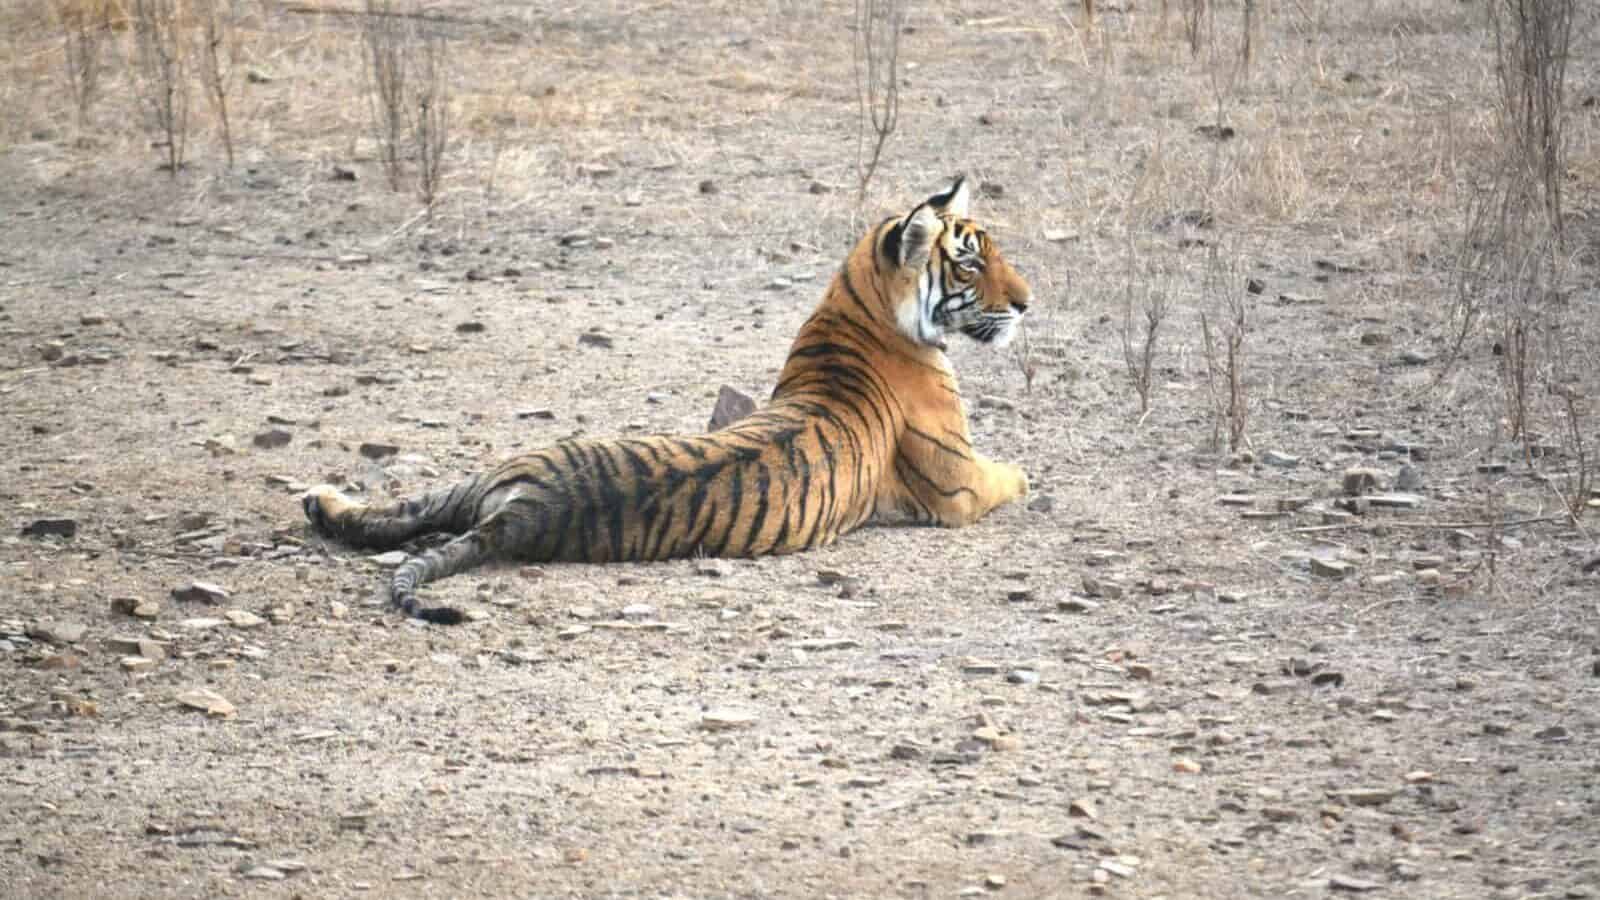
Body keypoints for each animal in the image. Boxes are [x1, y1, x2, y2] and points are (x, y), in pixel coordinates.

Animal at [302, 175, 1033, 623]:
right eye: (971, 262)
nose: (1028, 303)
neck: (858, 302)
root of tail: (519, 510)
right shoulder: (959, 483)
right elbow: (1014, 475)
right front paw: (1030, 478)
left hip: (485, 477)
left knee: (399, 514)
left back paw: (320, 501)